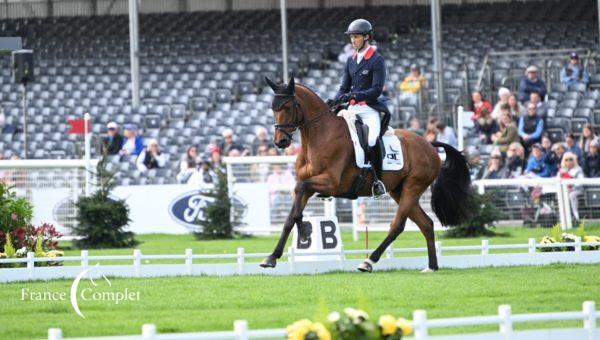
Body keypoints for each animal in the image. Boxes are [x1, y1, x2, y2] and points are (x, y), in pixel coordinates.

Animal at [258, 75, 474, 272]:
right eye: (273, 108)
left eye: (287, 107)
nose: (280, 142)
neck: (319, 136)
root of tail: (429, 144)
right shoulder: (307, 185)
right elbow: (291, 215)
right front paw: (273, 256)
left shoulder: (331, 183)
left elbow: (299, 201)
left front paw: (304, 231)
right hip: (398, 190)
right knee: (426, 224)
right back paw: (432, 267)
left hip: (413, 186)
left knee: (397, 225)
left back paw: (369, 261)